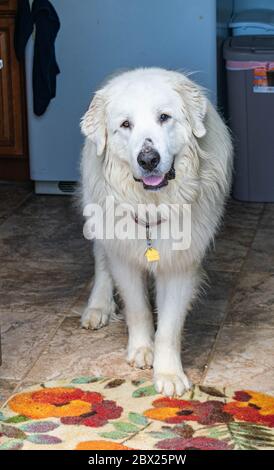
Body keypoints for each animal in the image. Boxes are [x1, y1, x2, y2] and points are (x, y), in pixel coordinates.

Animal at [80, 67, 232, 396]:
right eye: (126, 124)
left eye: (164, 117)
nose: (148, 159)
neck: (154, 206)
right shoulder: (123, 255)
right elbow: (138, 309)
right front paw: (141, 350)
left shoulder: (179, 265)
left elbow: (169, 327)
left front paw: (169, 374)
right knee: (100, 258)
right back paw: (98, 306)